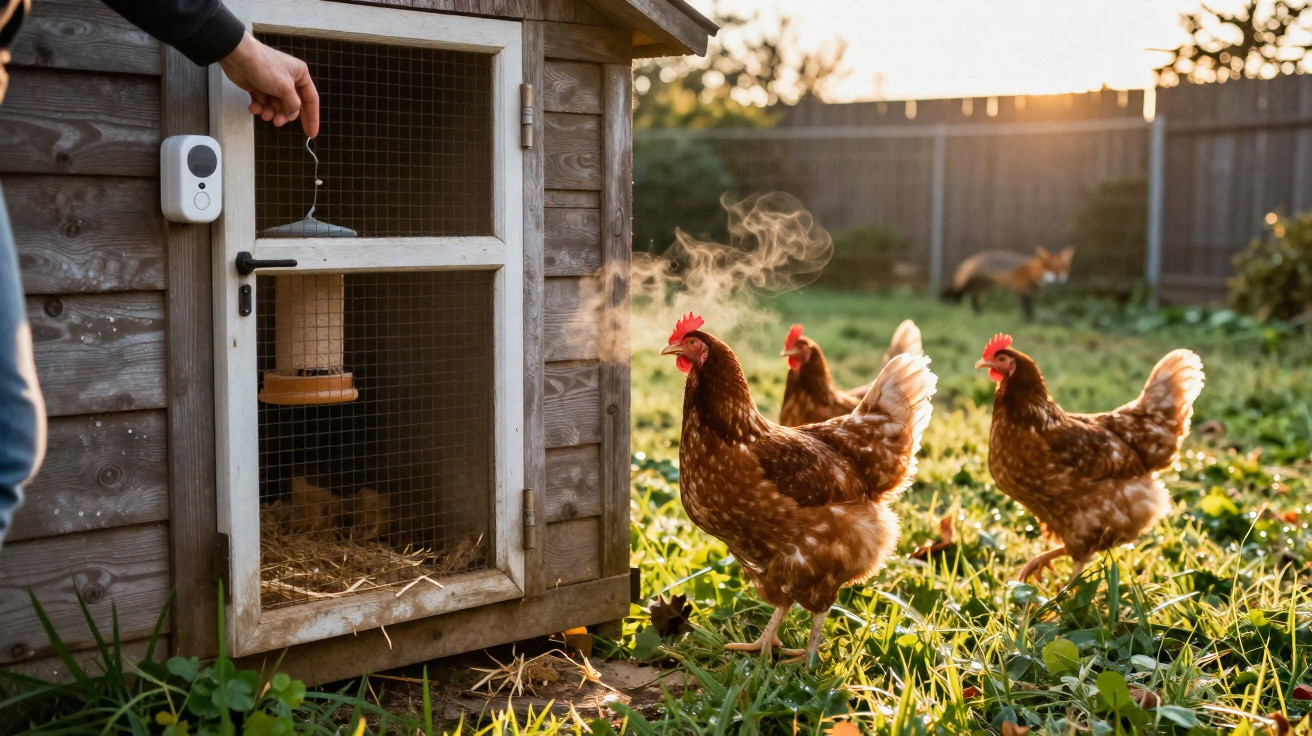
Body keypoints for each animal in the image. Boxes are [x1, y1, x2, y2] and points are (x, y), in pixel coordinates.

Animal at [941, 245, 1074, 320]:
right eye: (1053, 268)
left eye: (1064, 268)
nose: (1062, 277)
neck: (1035, 273)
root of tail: (972, 258)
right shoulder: (1023, 291)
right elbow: (1027, 310)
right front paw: (1030, 321)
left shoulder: (1030, 294)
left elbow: (1031, 309)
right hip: (973, 284)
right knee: (963, 294)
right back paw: (976, 312)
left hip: (985, 286)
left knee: (971, 296)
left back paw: (979, 312)